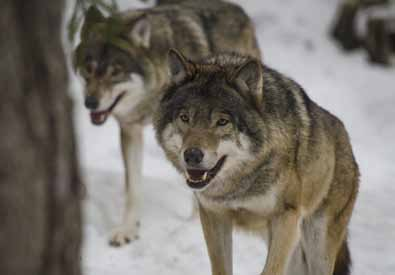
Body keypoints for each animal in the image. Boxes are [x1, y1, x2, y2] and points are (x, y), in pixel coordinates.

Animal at [72, 0, 262, 246]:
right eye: (89, 69)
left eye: (116, 73)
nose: (90, 103)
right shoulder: (131, 129)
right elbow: (132, 188)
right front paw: (127, 229)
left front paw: (194, 225)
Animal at [153, 50, 360, 275]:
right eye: (185, 118)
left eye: (222, 122)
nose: (192, 155)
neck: (239, 185)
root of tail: (345, 138)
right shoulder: (214, 216)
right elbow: (221, 268)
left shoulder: (286, 218)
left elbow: (270, 270)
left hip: (316, 243)